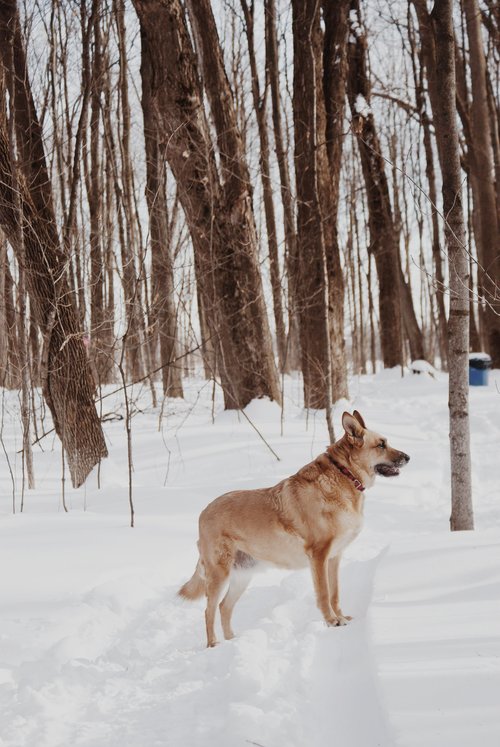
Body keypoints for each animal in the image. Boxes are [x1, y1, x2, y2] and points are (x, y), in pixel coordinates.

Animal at [178, 412, 408, 644]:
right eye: (381, 444)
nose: (408, 457)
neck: (344, 475)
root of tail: (203, 512)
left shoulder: (334, 557)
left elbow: (335, 593)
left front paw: (340, 617)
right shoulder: (319, 555)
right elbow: (324, 593)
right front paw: (331, 621)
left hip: (242, 574)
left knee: (225, 607)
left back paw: (232, 640)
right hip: (219, 573)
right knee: (209, 611)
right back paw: (214, 644)